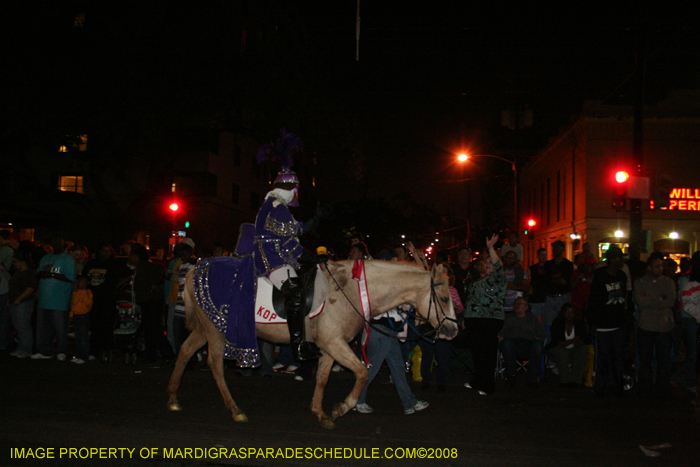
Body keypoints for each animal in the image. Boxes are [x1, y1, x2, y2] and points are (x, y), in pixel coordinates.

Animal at [165, 262, 460, 430]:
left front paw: (320, 413)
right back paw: (235, 409)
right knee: (215, 364)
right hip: (216, 331)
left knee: (185, 351)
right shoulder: (336, 344)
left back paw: (173, 398)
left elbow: (322, 378)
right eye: (445, 298)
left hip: (205, 329)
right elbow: (361, 373)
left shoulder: (329, 347)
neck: (351, 292)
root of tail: (197, 270)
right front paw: (341, 408)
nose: (453, 331)